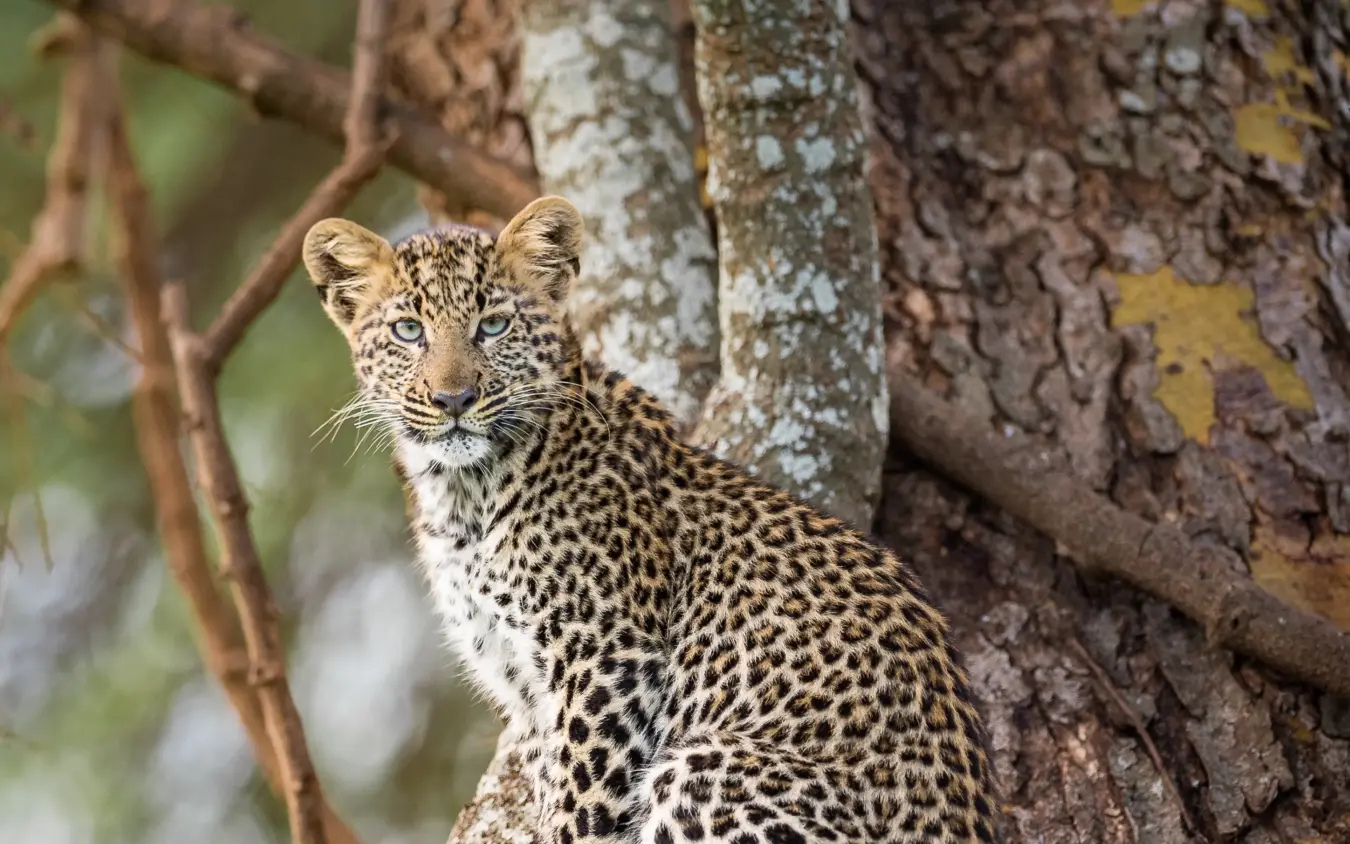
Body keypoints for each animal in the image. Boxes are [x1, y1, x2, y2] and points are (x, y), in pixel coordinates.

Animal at [302, 196, 1001, 844]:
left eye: (493, 326)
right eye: (408, 331)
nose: (454, 400)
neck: (463, 496)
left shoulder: (606, 656)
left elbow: (579, 805)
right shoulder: (520, 682)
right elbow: (547, 781)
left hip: (700, 770)